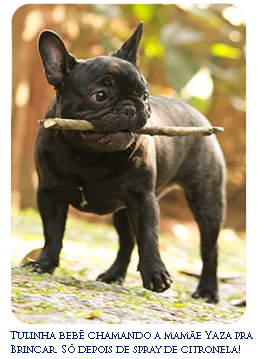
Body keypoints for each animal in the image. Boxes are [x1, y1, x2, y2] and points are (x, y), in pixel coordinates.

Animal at [25, 22, 226, 304]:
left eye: (145, 95)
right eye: (99, 95)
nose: (131, 108)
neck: (88, 155)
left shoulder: (143, 199)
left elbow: (149, 237)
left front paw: (156, 274)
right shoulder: (50, 194)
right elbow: (52, 232)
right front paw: (44, 264)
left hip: (206, 201)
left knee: (209, 247)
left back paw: (207, 291)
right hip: (122, 210)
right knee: (127, 241)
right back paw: (114, 274)